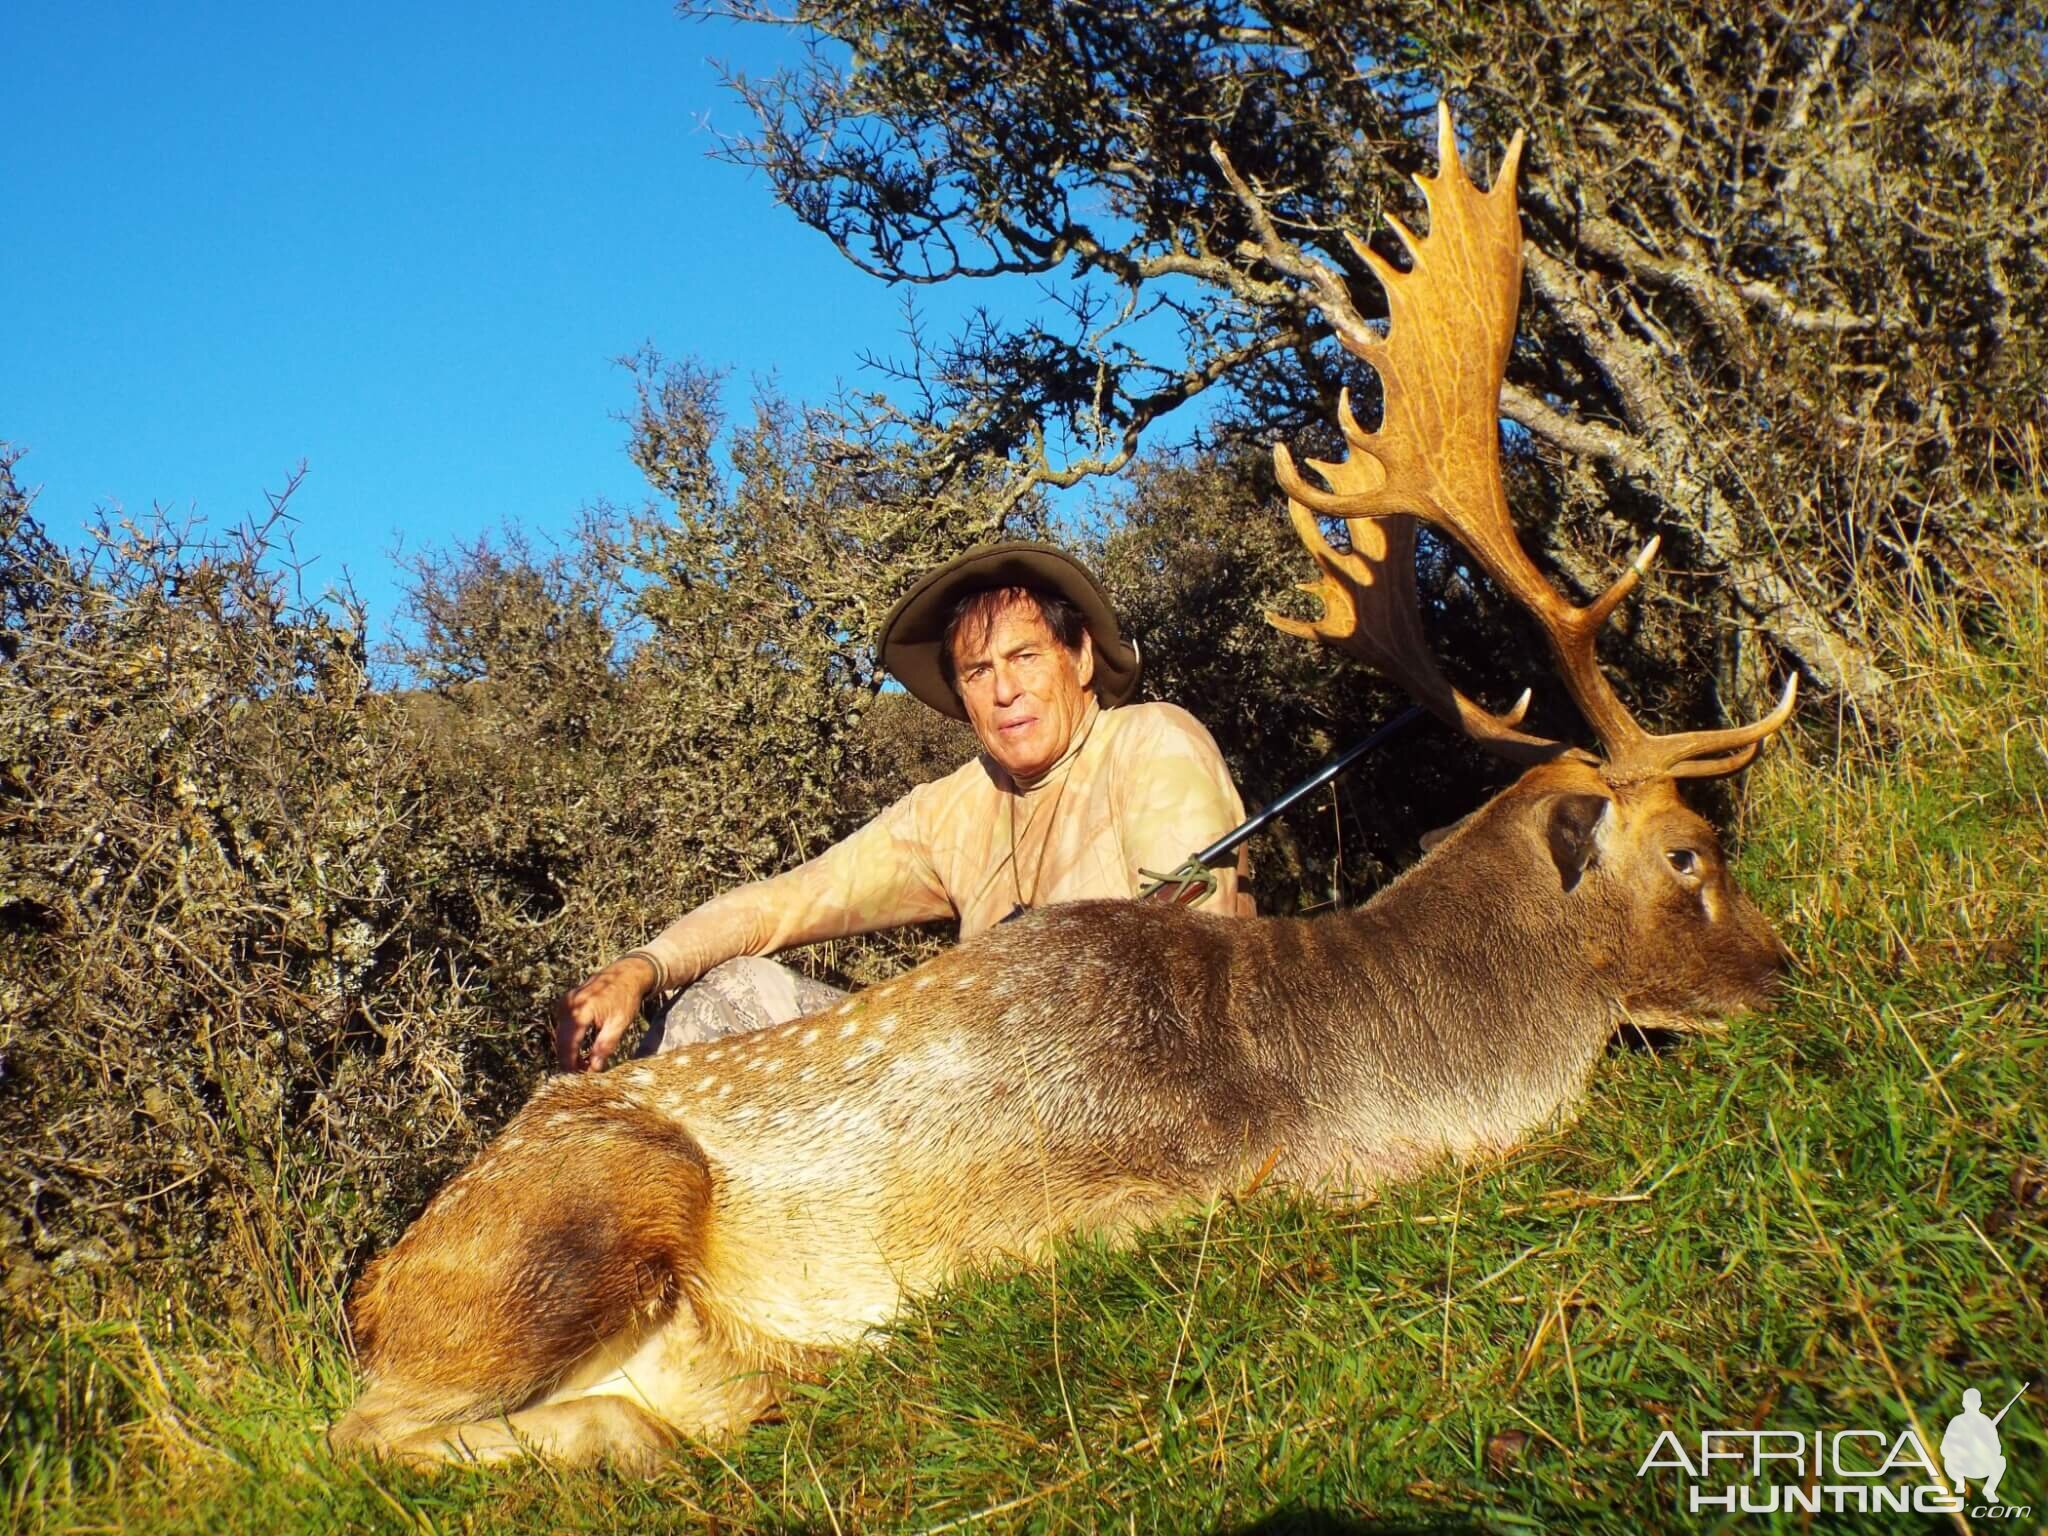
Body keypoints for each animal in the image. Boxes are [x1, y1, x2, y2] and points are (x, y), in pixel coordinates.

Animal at [331, 102, 1794, 1474]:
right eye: (1689, 852)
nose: (1785, 972)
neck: (1357, 1078)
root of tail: (376, 1284)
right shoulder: (1127, 1196)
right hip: (580, 1214)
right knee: (366, 1435)